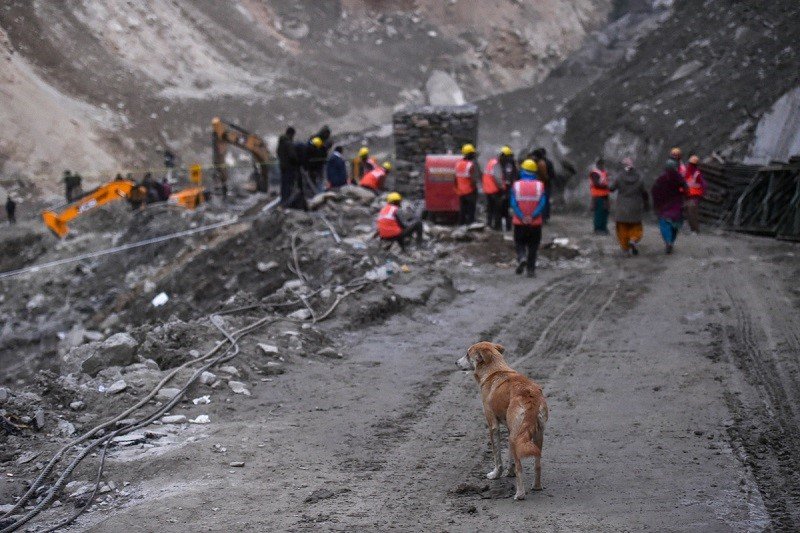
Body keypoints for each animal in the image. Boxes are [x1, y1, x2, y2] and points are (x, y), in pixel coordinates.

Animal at [456, 340, 552, 498]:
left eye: (467, 354)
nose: (456, 362)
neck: (494, 370)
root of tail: (529, 395)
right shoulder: (509, 428)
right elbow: (510, 457)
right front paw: (509, 472)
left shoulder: (493, 426)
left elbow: (497, 456)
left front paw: (496, 474)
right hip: (535, 436)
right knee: (537, 464)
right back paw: (536, 486)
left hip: (516, 437)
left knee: (520, 468)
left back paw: (520, 494)